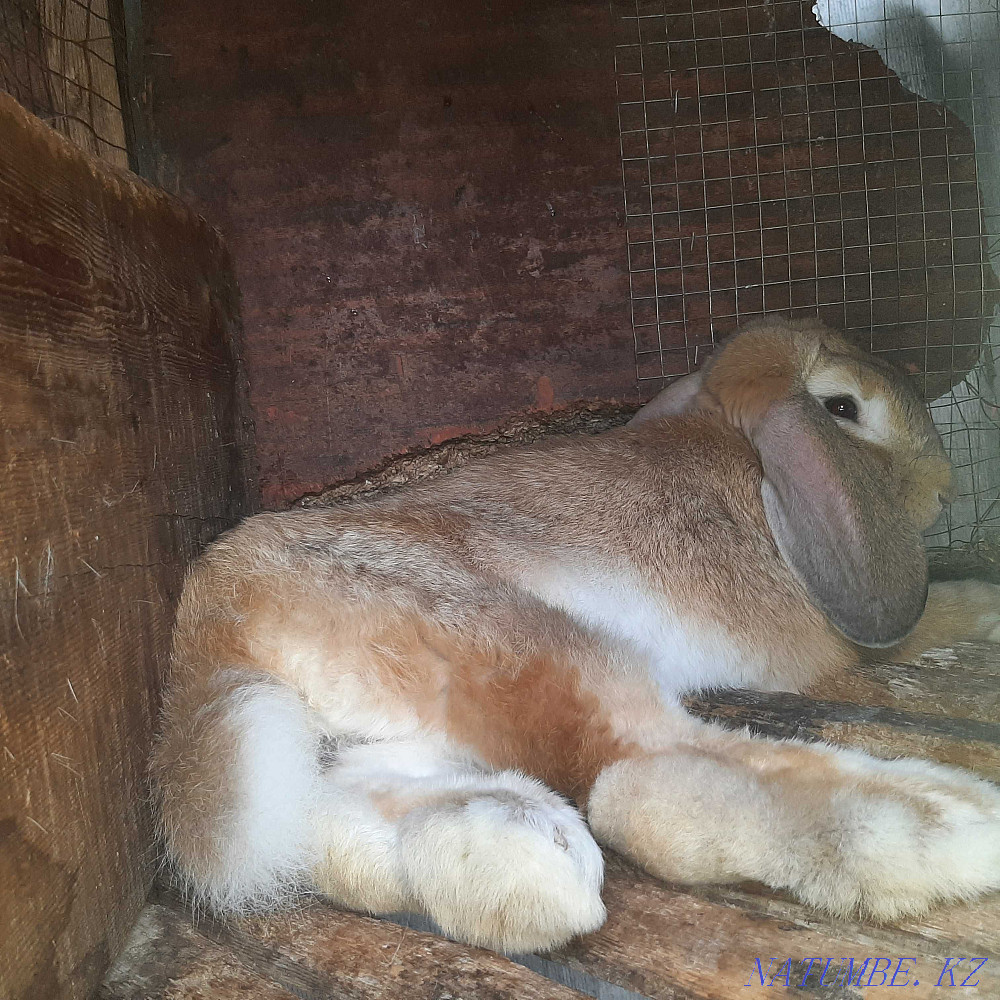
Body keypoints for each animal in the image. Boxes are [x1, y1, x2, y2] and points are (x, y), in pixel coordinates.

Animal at [152, 316, 1000, 953]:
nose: (944, 491)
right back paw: (950, 822)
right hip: (532, 641)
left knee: (349, 815)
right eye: (844, 409)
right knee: (643, 776)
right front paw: (982, 606)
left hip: (372, 732)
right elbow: (934, 620)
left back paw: (522, 856)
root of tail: (220, 604)